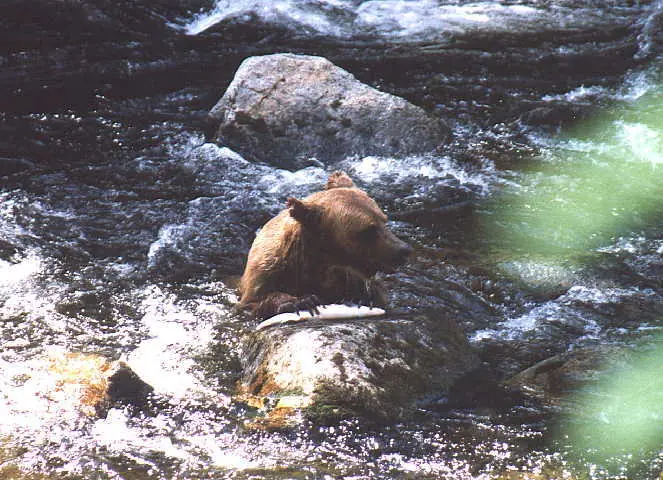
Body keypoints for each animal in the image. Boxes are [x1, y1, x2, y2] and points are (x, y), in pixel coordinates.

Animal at [238, 171, 412, 319]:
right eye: (369, 229)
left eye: (384, 219)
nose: (403, 250)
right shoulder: (267, 273)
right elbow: (253, 301)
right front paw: (301, 301)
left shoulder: (347, 278)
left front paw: (364, 298)